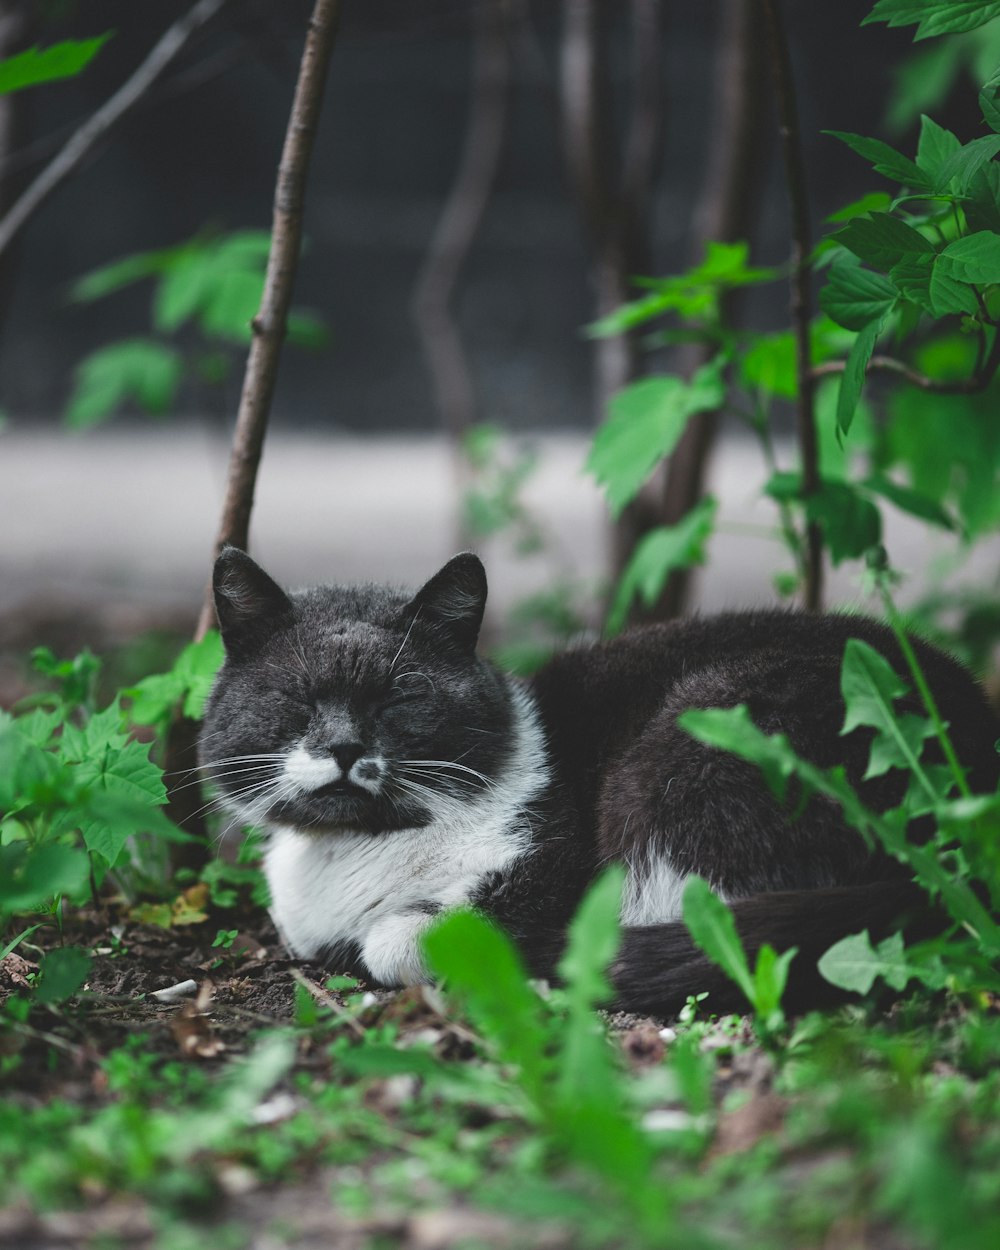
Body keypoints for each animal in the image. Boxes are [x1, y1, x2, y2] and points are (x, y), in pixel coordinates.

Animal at [197, 547, 1000, 1015]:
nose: (341, 745)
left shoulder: (547, 875)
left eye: (400, 700)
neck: (355, 850)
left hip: (692, 747)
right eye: (296, 701)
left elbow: (399, 942)